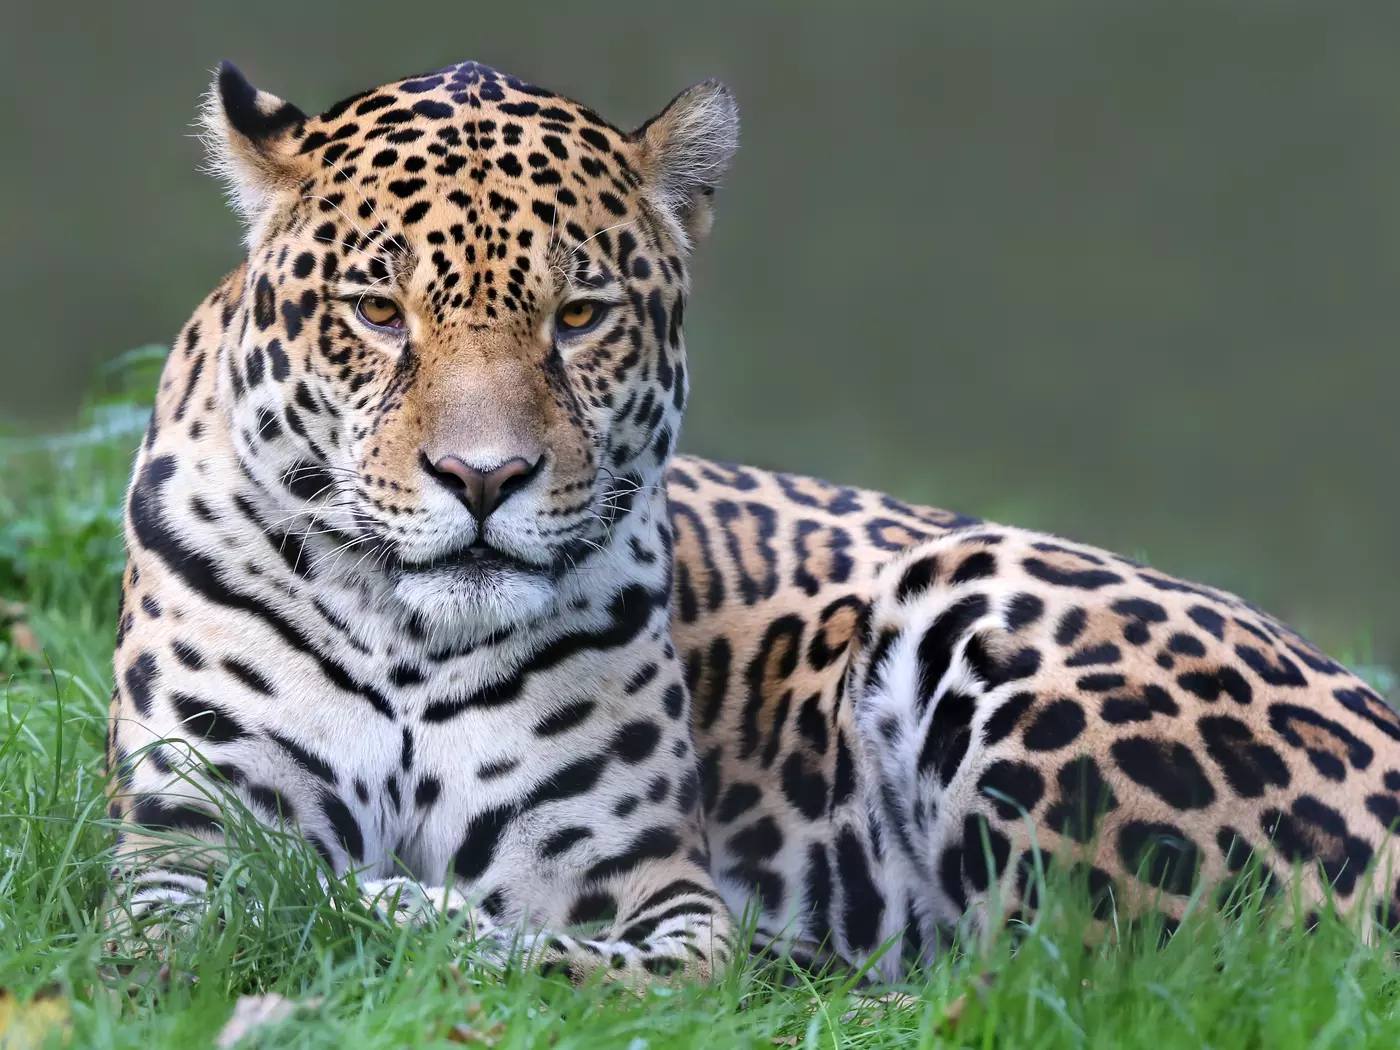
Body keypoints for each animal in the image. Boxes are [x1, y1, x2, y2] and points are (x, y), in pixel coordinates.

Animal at [107, 58, 1400, 989]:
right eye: (377, 311)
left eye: (579, 316)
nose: (484, 478)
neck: (412, 639)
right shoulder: (180, 838)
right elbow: (202, 928)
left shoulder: (647, 889)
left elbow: (562, 959)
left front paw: (381, 905)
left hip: (976, 590)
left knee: (1100, 977)